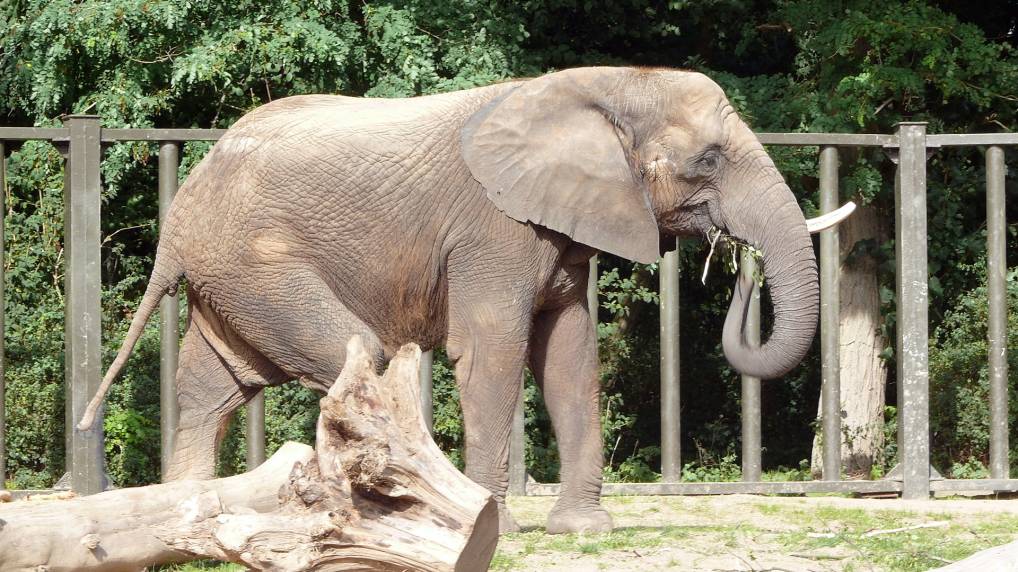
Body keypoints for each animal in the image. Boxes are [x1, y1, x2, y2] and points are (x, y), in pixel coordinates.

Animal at [77, 66, 826, 533]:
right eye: (708, 161)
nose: (742, 263)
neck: (601, 85)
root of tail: (178, 220)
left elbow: (570, 359)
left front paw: (585, 528)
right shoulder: (494, 228)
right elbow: (493, 354)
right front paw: (496, 527)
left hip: (231, 281)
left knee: (213, 387)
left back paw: (192, 519)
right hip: (255, 263)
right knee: (355, 355)